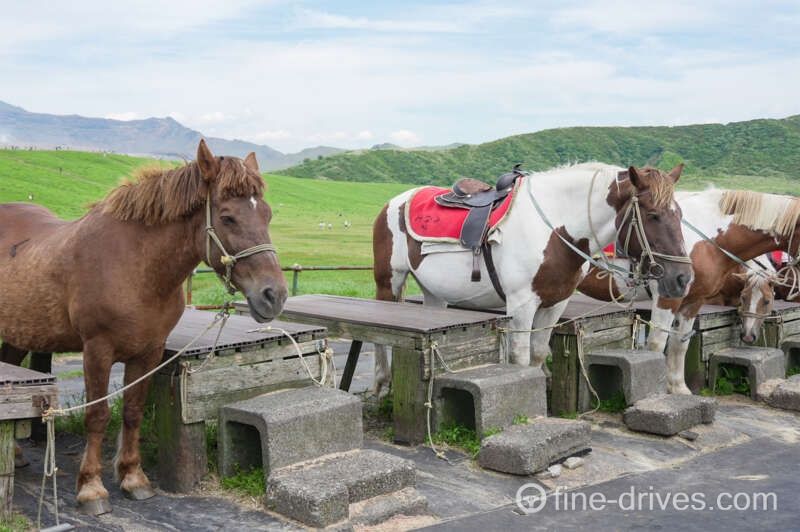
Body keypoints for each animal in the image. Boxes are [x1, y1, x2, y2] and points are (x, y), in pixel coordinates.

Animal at [0, 140, 288, 514]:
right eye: (227, 217)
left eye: (267, 214)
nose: (274, 295)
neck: (134, 265)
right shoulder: (97, 350)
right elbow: (97, 415)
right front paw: (91, 488)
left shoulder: (149, 351)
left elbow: (133, 412)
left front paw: (132, 478)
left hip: (19, 332)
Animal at [372, 162, 693, 394]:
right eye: (652, 215)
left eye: (679, 215)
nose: (683, 278)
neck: (555, 229)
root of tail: (395, 201)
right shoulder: (521, 305)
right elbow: (521, 359)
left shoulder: (554, 304)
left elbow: (538, 355)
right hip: (389, 282)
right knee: (379, 337)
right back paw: (382, 382)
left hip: (434, 293)